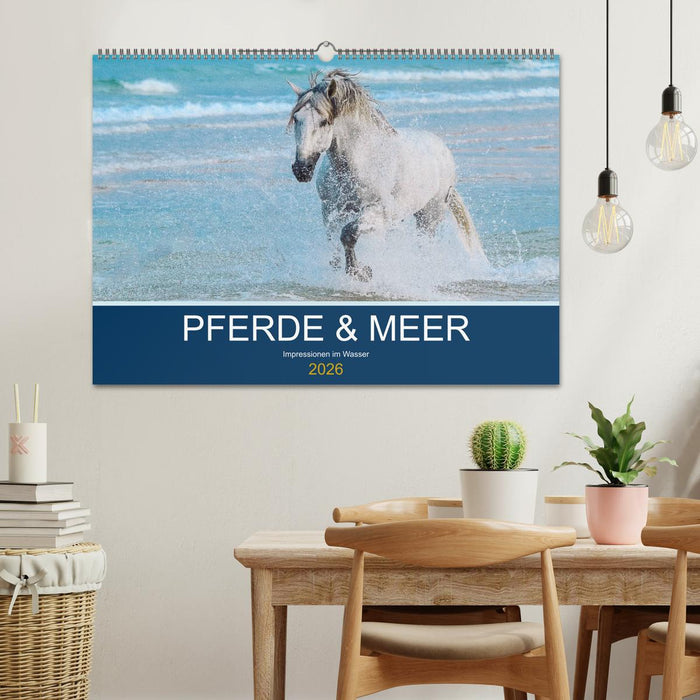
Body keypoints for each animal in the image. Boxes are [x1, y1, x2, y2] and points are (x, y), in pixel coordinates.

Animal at [287, 69, 485, 281]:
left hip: (430, 215)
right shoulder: (331, 210)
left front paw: (360, 272)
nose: (301, 169)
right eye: (296, 118)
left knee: (425, 246)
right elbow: (334, 245)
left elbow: (348, 233)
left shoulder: (377, 211)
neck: (362, 160)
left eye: (324, 121)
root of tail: (444, 150)